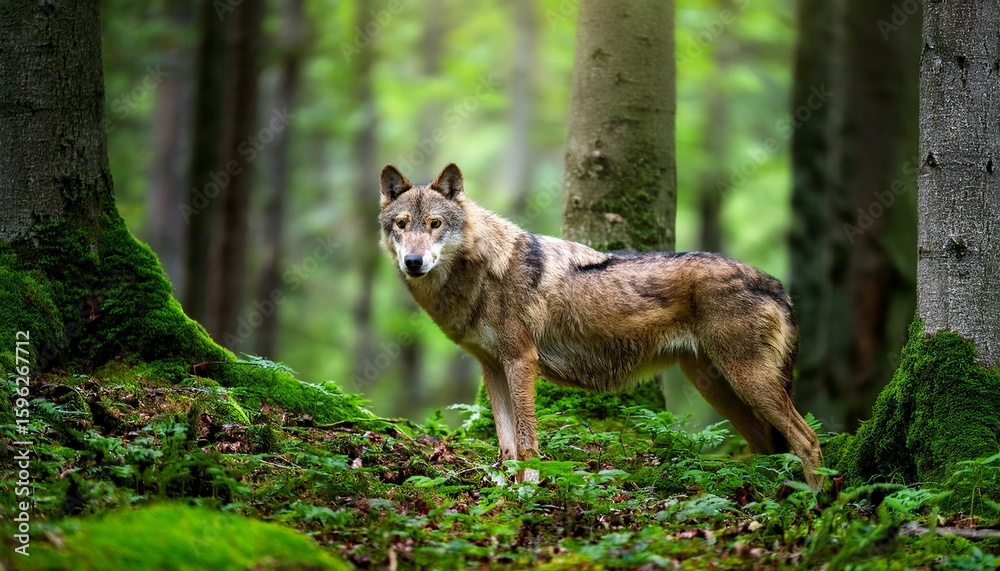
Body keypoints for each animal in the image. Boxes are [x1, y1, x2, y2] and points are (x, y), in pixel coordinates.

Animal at [379, 163, 823, 488]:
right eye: (401, 224)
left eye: (435, 224)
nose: (413, 262)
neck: (482, 270)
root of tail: (777, 285)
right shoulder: (492, 368)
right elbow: (505, 445)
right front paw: (504, 493)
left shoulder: (521, 361)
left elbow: (527, 442)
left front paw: (528, 490)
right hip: (719, 388)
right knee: (771, 447)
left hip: (748, 383)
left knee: (808, 439)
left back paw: (814, 506)